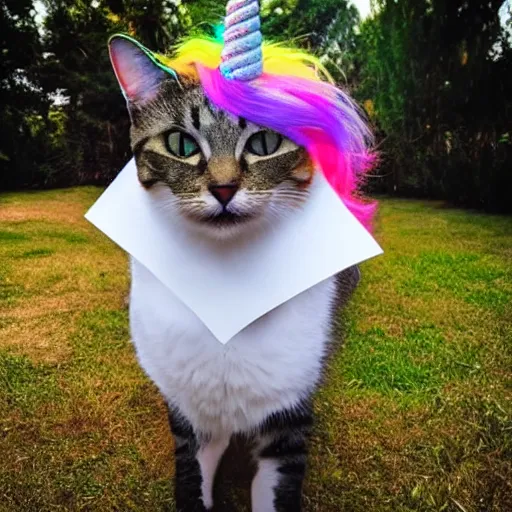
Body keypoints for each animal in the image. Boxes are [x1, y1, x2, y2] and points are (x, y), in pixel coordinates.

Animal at [108, 36, 364, 512]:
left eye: (264, 142)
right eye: (181, 144)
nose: (224, 188)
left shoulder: (289, 421)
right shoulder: (191, 420)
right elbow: (191, 484)